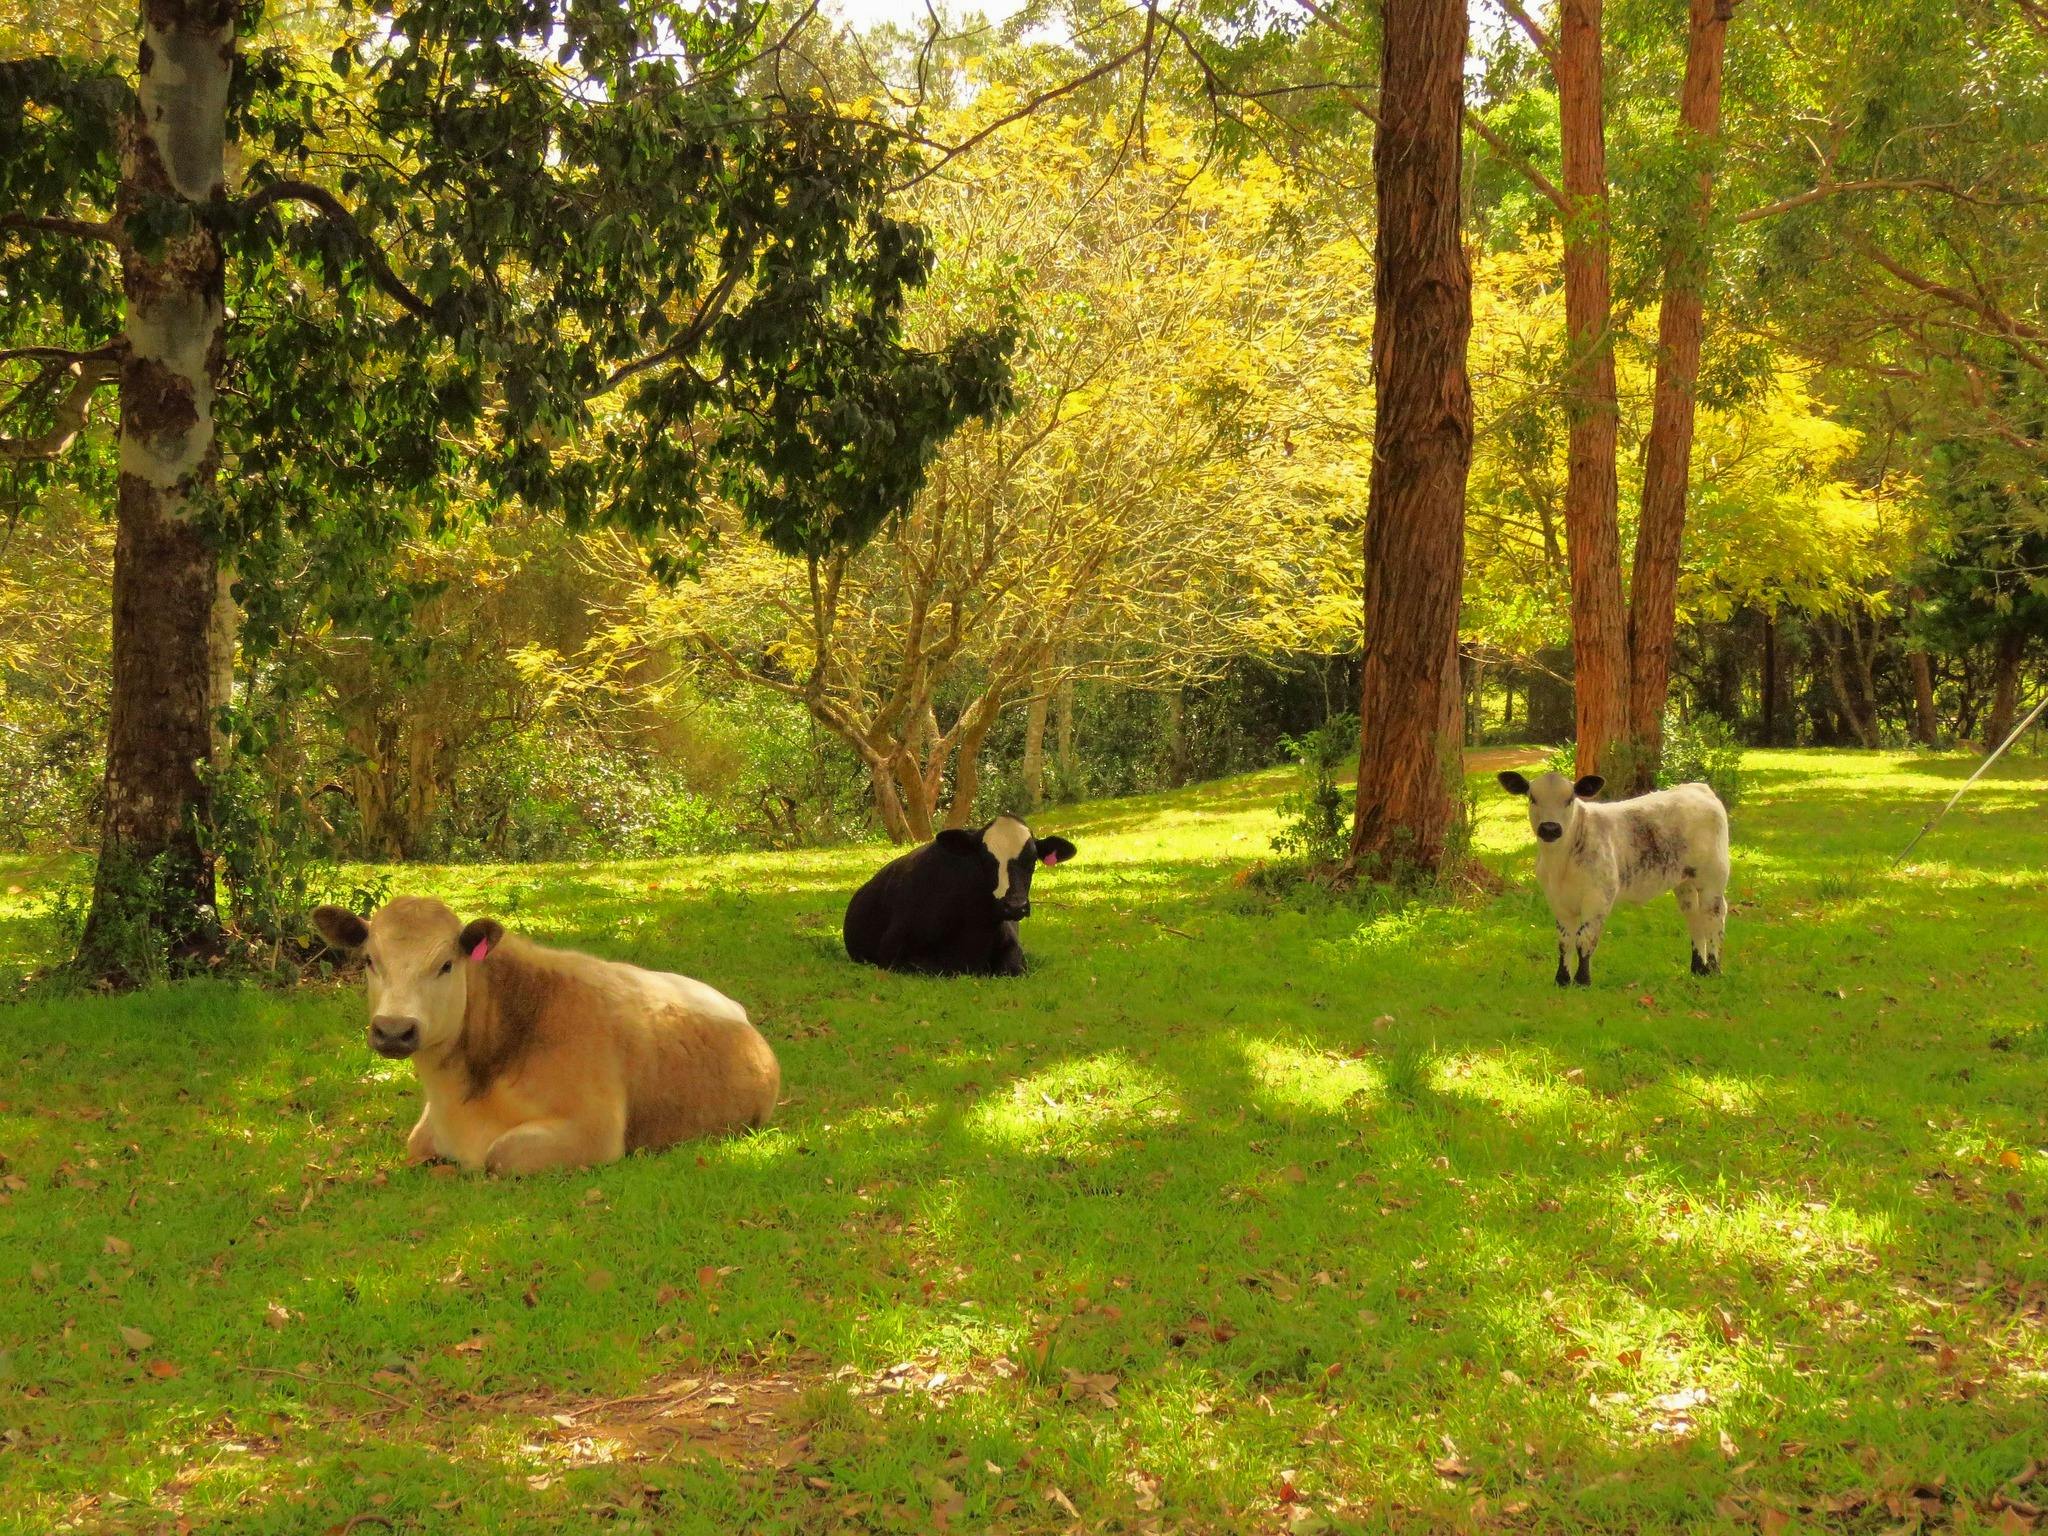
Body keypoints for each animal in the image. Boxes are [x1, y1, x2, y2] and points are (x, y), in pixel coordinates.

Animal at [311, 896, 780, 1174]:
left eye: (446, 964)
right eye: (369, 960)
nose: (393, 1030)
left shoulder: (594, 1131)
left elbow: (500, 1155)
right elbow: (417, 1142)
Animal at [1496, 771, 1730, 987]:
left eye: (1570, 799)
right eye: (1532, 798)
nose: (1550, 828)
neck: (1560, 863)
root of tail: (1698, 788)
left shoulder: (1598, 897)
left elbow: (1585, 938)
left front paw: (1582, 981)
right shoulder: (1557, 900)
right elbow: (1564, 941)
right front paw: (1562, 980)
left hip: (1714, 877)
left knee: (1713, 916)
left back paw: (1714, 969)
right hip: (1685, 881)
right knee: (1694, 917)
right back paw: (1698, 969)